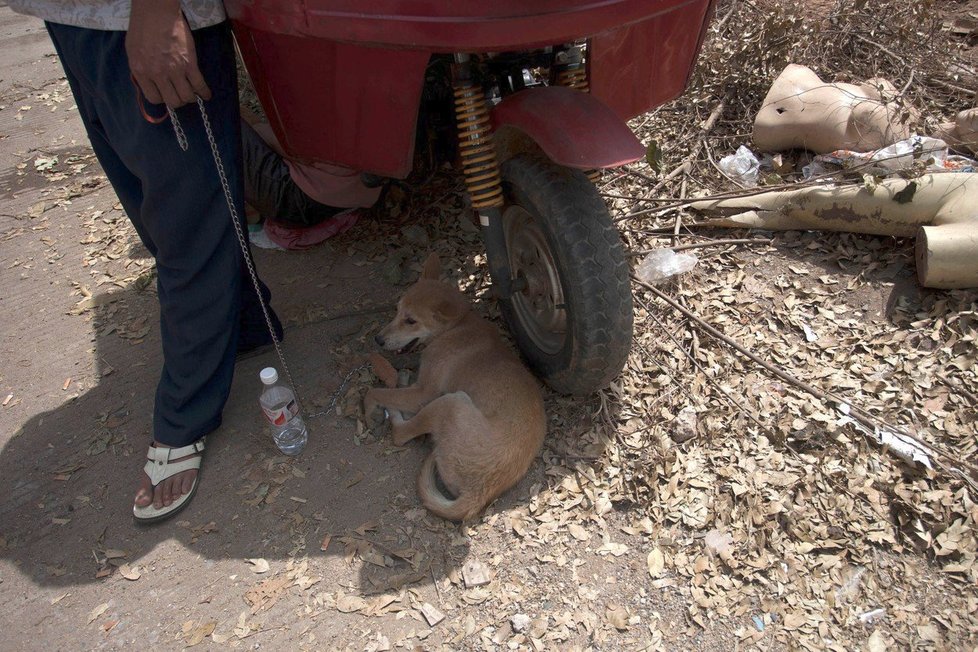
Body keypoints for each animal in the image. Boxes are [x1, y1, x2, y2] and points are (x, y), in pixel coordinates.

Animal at [366, 253, 544, 520]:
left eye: (411, 321)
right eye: (397, 311)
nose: (378, 340)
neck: (457, 325)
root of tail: (477, 494)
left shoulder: (423, 393)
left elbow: (374, 392)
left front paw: (369, 408)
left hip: (450, 401)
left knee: (400, 434)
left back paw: (394, 414)